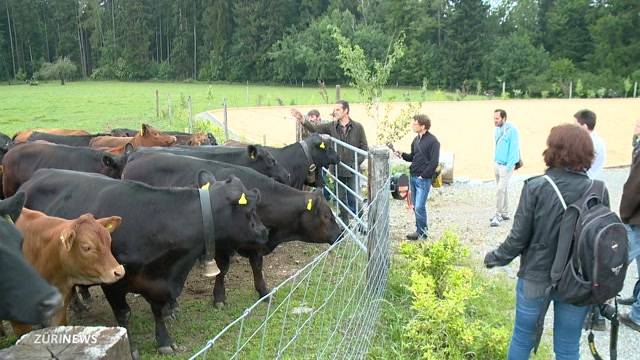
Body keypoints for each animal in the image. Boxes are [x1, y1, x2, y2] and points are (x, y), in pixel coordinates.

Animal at [20, 170, 268, 356]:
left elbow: (157, 310)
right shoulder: (113, 281)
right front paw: (130, 348)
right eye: (251, 209)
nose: (264, 231)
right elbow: (123, 316)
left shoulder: (158, 282)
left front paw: (164, 341)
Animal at [120, 150, 340, 306]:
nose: (341, 233)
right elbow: (223, 269)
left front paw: (264, 292)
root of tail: (138, 156)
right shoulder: (224, 245)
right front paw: (219, 297)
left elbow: (257, 267)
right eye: (327, 216)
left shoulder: (257, 242)